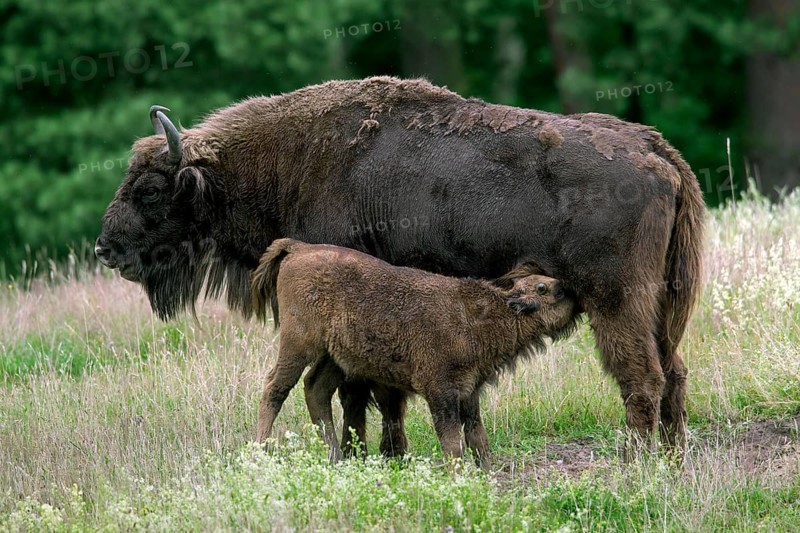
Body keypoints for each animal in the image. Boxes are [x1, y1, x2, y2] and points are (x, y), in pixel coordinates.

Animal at [96, 76, 705, 457]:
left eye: (151, 189)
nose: (105, 249)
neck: (290, 162)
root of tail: (657, 152)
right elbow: (378, 392)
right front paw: (387, 454)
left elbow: (361, 392)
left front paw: (374, 454)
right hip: (661, 305)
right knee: (673, 372)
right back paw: (673, 462)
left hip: (616, 302)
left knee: (642, 379)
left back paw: (634, 463)